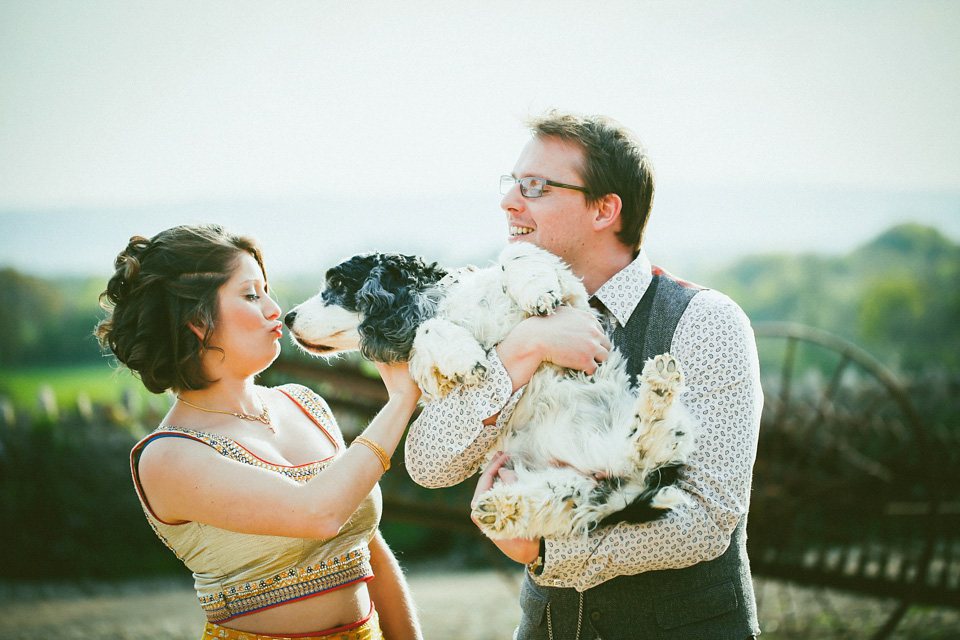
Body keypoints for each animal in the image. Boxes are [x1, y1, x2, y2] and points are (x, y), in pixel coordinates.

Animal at [284, 245, 696, 540]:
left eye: (338, 285)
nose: (287, 317)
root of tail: (628, 483)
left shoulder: (574, 298)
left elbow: (516, 254)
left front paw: (539, 295)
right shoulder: (432, 379)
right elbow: (427, 334)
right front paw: (467, 357)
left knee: (653, 439)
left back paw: (659, 385)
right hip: (571, 489)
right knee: (579, 487)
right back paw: (500, 510)